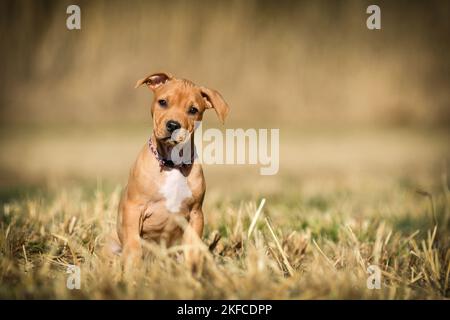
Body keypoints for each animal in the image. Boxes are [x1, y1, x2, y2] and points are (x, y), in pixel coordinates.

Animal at [114, 72, 230, 268]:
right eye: (163, 102)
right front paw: (132, 270)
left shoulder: (196, 215)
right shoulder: (133, 208)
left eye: (193, 110)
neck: (172, 164)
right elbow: (133, 245)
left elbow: (192, 250)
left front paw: (192, 271)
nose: (173, 125)